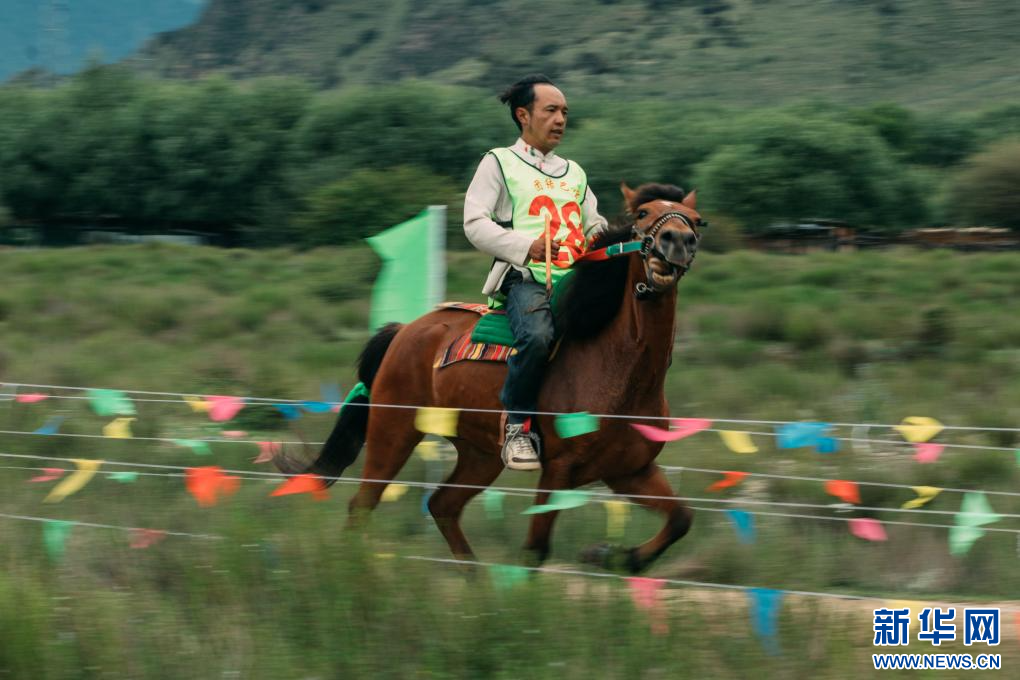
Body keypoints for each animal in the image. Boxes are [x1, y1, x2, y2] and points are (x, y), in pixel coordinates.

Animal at [278, 182, 704, 573]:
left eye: (696, 221)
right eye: (642, 214)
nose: (677, 241)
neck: (618, 371)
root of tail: (404, 331)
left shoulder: (630, 471)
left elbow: (681, 519)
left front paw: (609, 554)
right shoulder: (560, 470)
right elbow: (535, 551)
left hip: (479, 454)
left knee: (441, 505)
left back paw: (478, 585)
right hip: (392, 432)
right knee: (362, 506)